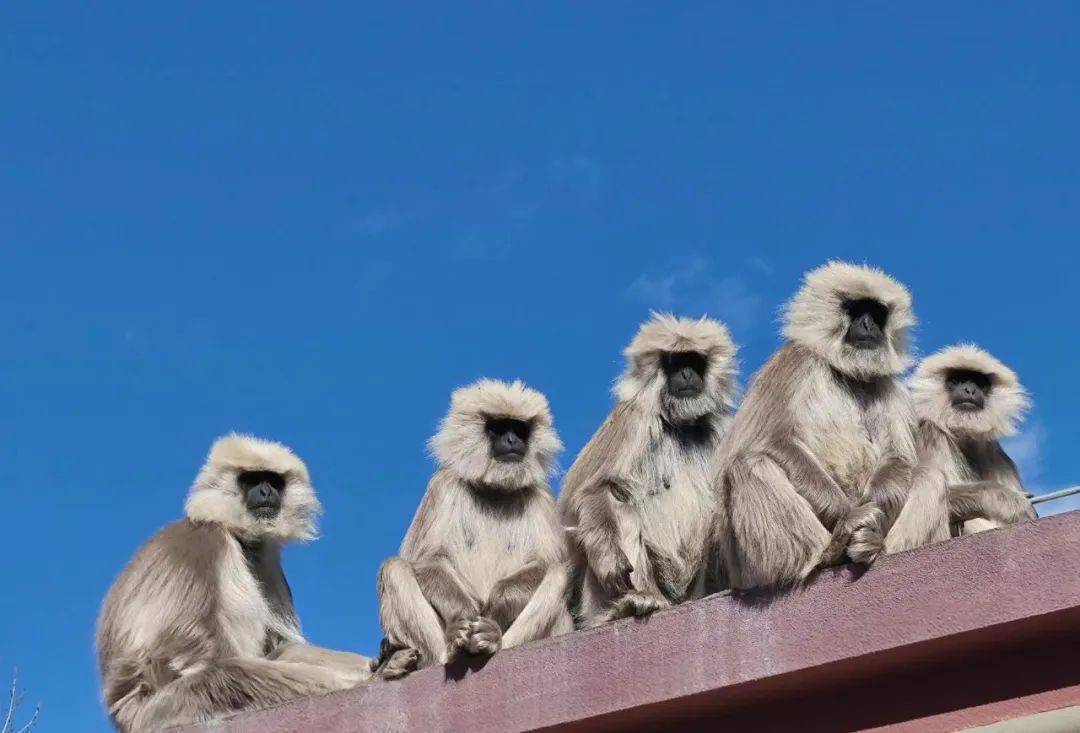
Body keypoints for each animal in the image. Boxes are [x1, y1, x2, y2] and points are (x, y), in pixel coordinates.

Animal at [95, 436, 414, 733]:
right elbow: (200, 657)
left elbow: (278, 644)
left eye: (273, 481)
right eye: (250, 480)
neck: (235, 533)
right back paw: (377, 675)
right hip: (161, 709)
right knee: (223, 675)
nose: (265, 491)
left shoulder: (264, 558)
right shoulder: (204, 542)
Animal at [375, 382, 574, 673]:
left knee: (558, 574)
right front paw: (465, 616)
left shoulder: (542, 496)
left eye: (519, 429)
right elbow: (427, 558)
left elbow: (548, 562)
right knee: (394, 567)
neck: (495, 491)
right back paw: (450, 649)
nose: (512, 440)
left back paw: (492, 639)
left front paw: (495, 608)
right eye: (498, 428)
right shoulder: (442, 484)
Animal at [557, 313, 743, 626]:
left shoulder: (724, 426)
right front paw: (611, 560)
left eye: (693, 361)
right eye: (674, 363)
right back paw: (634, 603)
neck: (683, 427)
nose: (686, 374)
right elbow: (591, 489)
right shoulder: (635, 415)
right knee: (620, 503)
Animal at [717, 261, 920, 587]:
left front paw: (870, 528)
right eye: (855, 309)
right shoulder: (794, 362)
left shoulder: (889, 387)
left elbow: (897, 458)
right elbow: (770, 440)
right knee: (748, 463)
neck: (845, 373)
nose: (869, 326)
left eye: (877, 313)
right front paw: (851, 518)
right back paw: (830, 553)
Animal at [885, 347, 1036, 552]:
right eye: (956, 380)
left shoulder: (998, 457)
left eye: (979, 383)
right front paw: (1008, 501)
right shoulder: (930, 432)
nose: (969, 390)